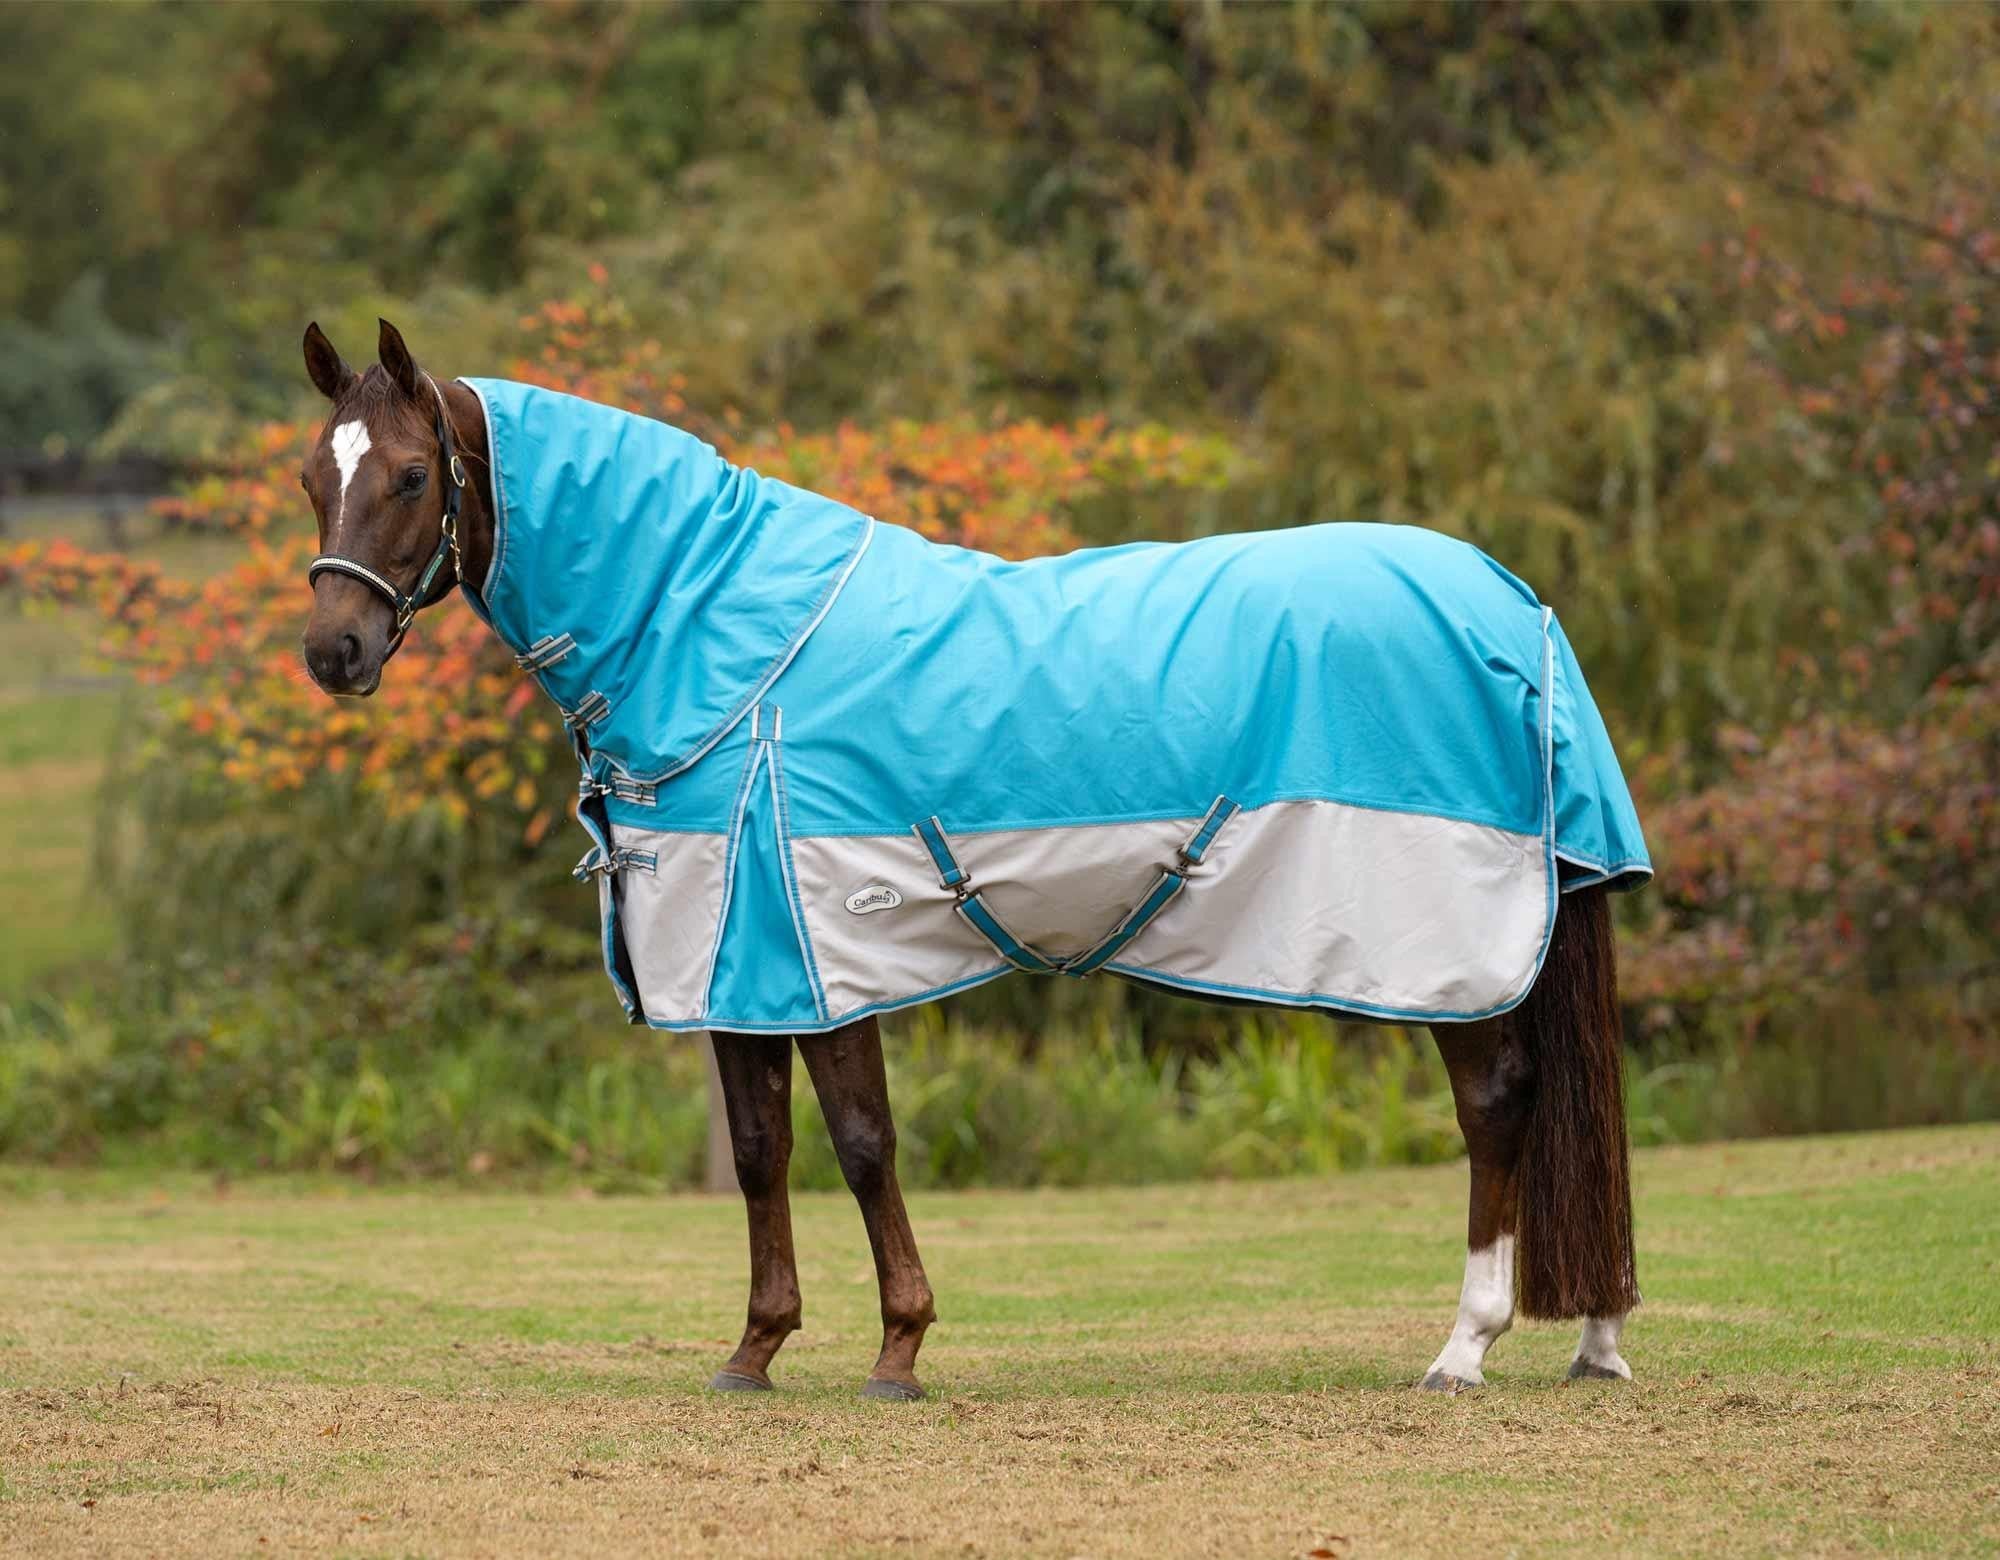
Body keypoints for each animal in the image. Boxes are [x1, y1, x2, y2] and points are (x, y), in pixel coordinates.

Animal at [295, 318, 1644, 1400]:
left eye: (410, 474)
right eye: (313, 474)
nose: (333, 651)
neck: (726, 643)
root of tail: (1509, 600)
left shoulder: (811, 948)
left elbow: (861, 1145)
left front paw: (898, 1350)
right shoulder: (735, 968)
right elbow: (759, 1153)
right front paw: (754, 1351)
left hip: (1450, 942)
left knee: (1497, 1103)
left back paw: (1463, 1348)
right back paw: (1592, 1341)